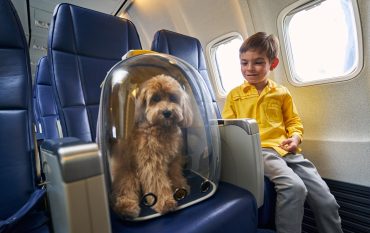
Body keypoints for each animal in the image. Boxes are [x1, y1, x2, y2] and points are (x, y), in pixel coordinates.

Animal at [111, 73, 194, 218]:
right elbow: (157, 183)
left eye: (173, 98)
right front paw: (165, 202)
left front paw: (180, 188)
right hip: (128, 174)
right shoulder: (151, 163)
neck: (161, 128)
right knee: (125, 191)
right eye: (155, 98)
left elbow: (175, 174)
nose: (167, 112)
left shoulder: (173, 160)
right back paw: (127, 208)